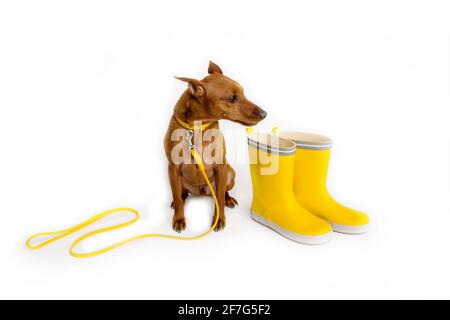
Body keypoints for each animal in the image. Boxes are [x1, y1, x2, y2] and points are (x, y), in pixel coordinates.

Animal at [163, 61, 266, 231]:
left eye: (243, 93)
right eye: (232, 98)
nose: (264, 114)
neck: (196, 128)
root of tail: (202, 192)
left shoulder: (220, 167)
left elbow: (219, 199)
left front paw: (219, 219)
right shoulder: (173, 167)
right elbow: (177, 198)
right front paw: (179, 219)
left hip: (230, 174)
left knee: (222, 193)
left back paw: (228, 199)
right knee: (180, 194)